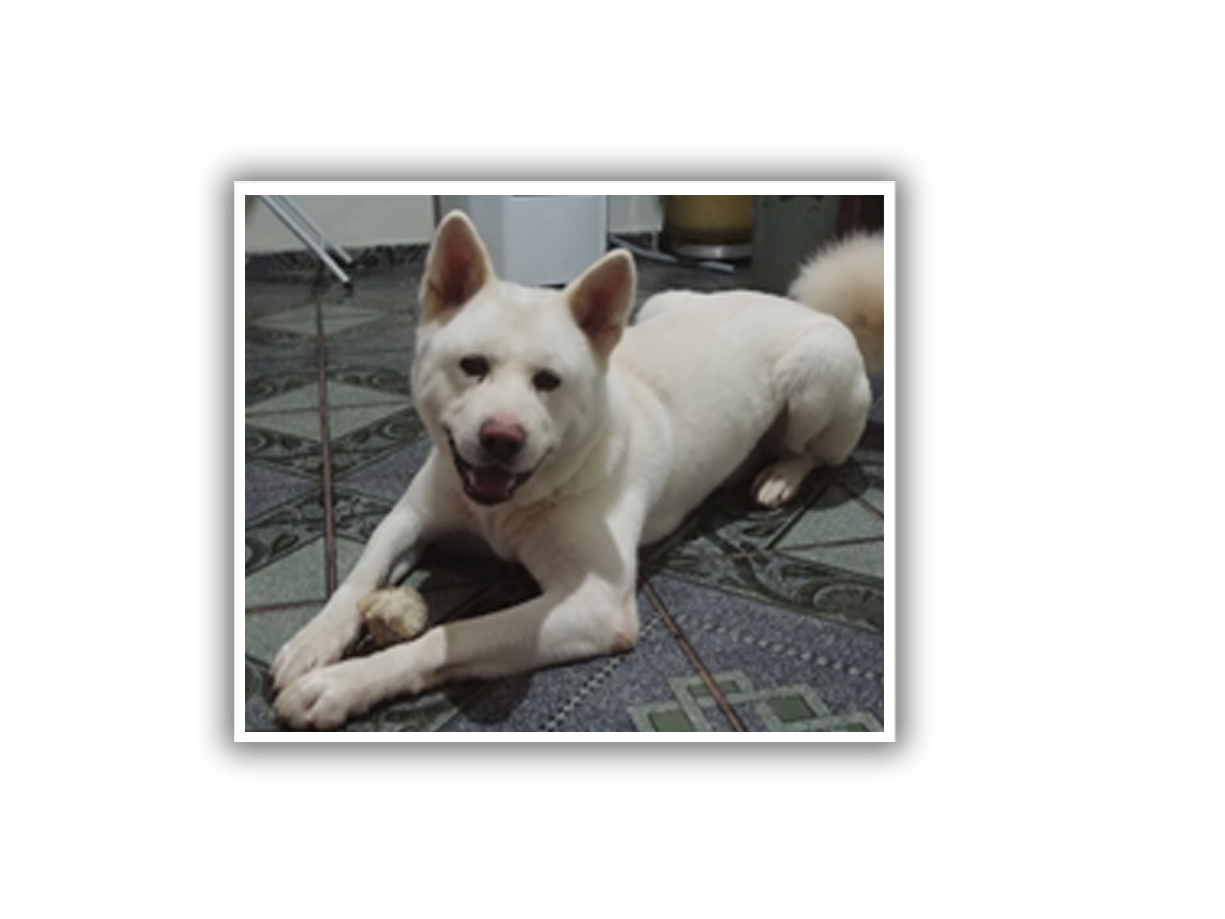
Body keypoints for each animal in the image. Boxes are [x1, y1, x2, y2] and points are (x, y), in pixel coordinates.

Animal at [271, 211, 875, 729]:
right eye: (472, 366)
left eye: (548, 381)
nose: (501, 438)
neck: (510, 504)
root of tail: (800, 304)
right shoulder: (409, 516)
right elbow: (359, 577)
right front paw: (311, 643)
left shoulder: (596, 604)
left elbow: (454, 636)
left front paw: (342, 685)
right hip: (660, 306)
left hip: (818, 372)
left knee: (813, 452)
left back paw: (779, 476)